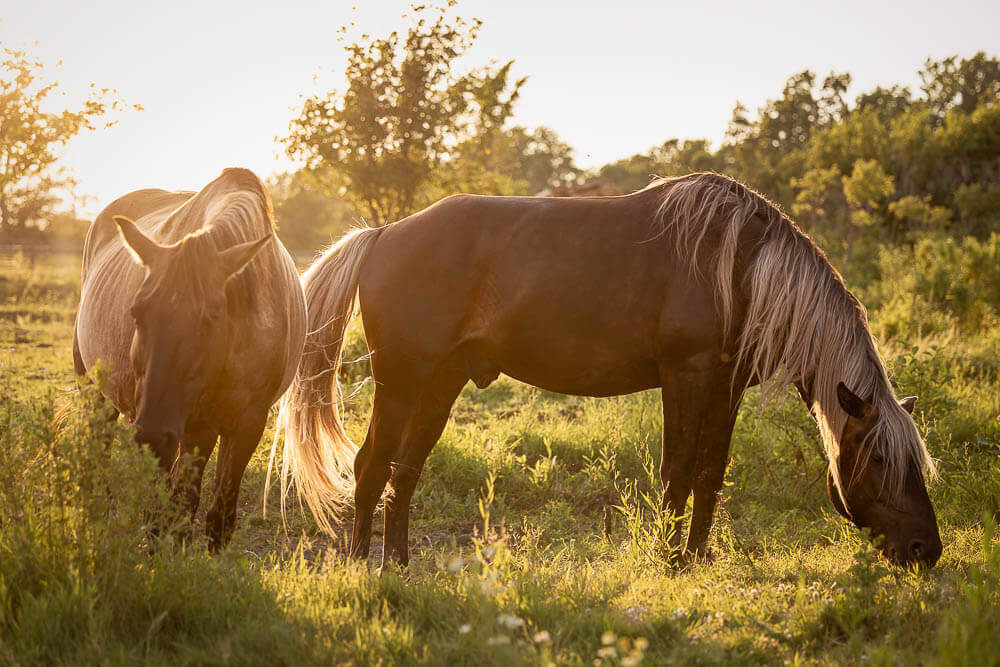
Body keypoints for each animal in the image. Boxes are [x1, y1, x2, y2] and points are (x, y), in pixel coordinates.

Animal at [73, 168, 306, 549]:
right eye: (136, 312)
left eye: (211, 317)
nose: (151, 437)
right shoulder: (197, 427)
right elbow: (179, 511)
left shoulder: (247, 425)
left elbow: (218, 518)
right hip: (100, 395)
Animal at [275, 172, 942, 569]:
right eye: (879, 460)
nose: (926, 549)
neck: (742, 269)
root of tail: (384, 233)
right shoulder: (686, 377)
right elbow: (677, 470)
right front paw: (669, 560)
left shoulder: (725, 387)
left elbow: (709, 472)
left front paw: (695, 559)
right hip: (402, 380)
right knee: (371, 465)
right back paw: (363, 566)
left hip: (441, 383)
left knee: (405, 470)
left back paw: (402, 565)